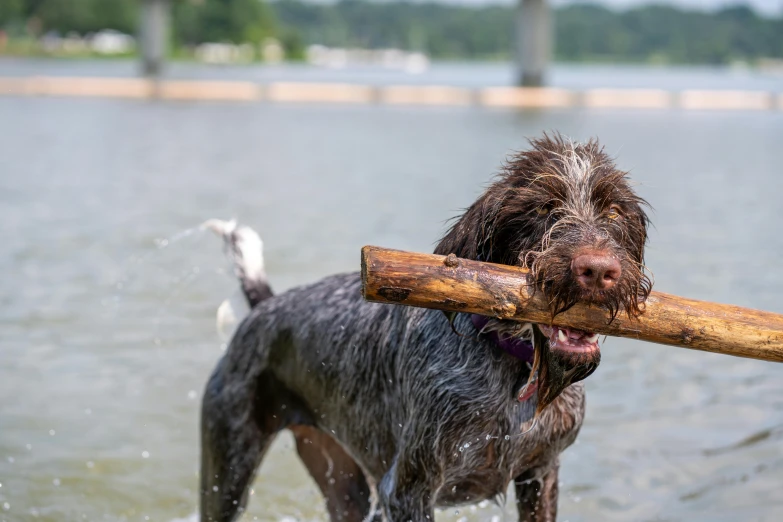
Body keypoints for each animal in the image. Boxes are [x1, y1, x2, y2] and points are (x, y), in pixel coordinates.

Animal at [201, 134, 648, 520]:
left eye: (613, 212)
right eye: (542, 208)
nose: (598, 271)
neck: (512, 367)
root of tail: (265, 306)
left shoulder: (541, 475)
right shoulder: (407, 490)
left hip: (344, 485)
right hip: (228, 472)